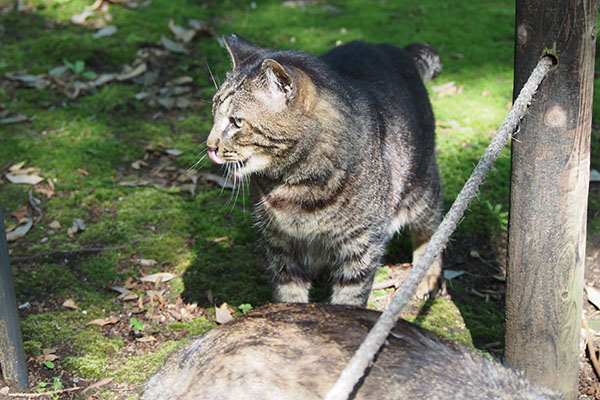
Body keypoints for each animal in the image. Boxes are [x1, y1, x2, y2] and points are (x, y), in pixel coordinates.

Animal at [209, 35, 442, 306]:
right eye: (214, 112)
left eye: (237, 122)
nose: (210, 146)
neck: (295, 186)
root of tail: (393, 50)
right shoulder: (278, 246)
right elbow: (289, 295)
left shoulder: (360, 246)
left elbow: (350, 299)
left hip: (422, 187)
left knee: (431, 228)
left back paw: (428, 275)